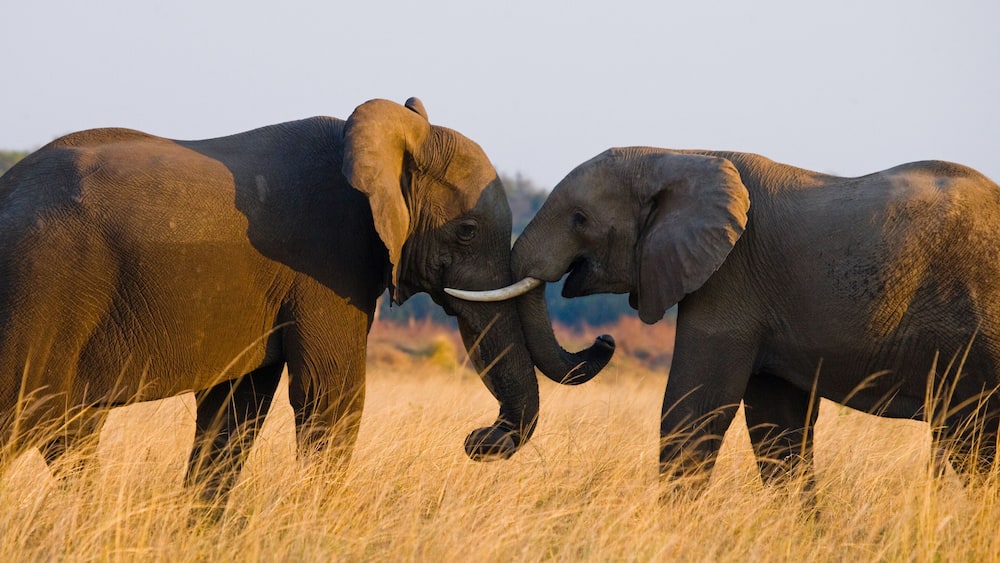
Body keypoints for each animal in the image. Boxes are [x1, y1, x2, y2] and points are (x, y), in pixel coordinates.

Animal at [0, 97, 614, 500]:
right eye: (466, 232)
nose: (475, 439)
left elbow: (235, 408)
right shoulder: (326, 263)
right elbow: (331, 396)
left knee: (71, 432)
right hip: (37, 291)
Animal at [448, 146, 1000, 492]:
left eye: (580, 219)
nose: (477, 439)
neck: (680, 156)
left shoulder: (732, 280)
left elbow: (695, 409)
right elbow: (778, 427)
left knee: (971, 442)